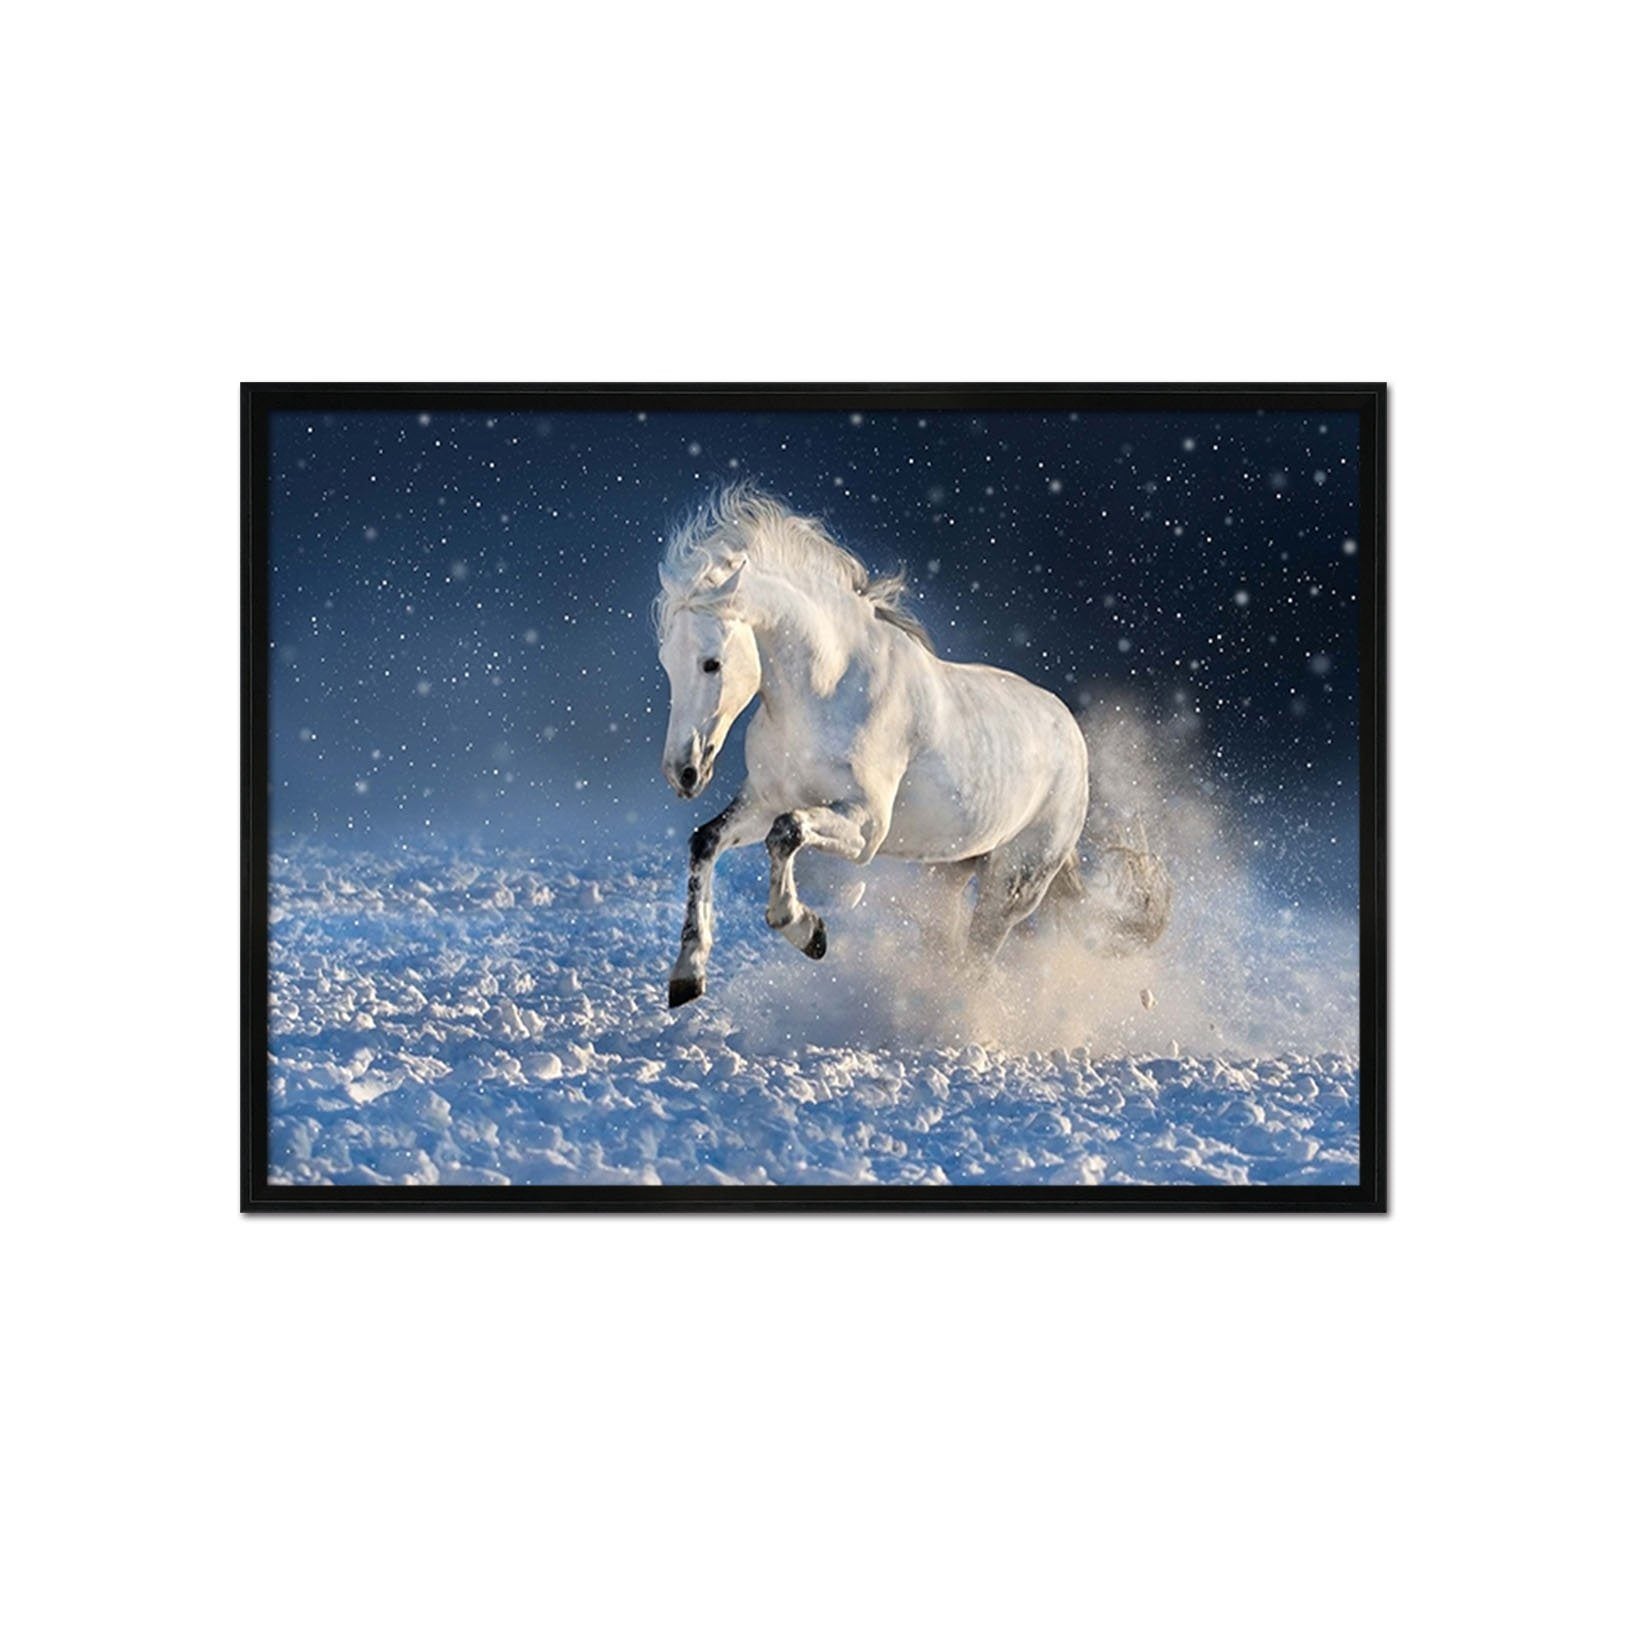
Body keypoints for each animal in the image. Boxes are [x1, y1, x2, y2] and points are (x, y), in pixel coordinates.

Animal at [654, 485, 1167, 1007]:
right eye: (667, 661)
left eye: (712, 663)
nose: (683, 773)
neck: (827, 692)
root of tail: (1072, 739)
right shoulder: (764, 801)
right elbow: (706, 841)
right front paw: (688, 974)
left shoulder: (866, 827)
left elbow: (788, 832)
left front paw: (808, 931)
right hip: (949, 873)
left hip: (1013, 884)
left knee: (978, 960)